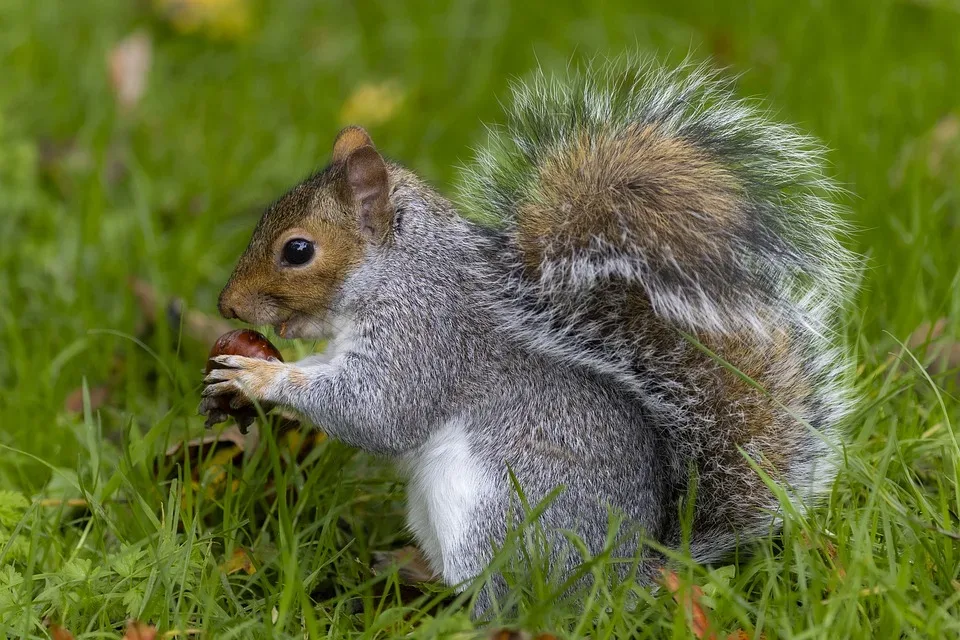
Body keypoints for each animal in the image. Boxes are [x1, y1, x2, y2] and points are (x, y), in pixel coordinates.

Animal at [199, 57, 860, 612]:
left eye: (298, 250)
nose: (226, 304)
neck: (400, 270)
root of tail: (622, 578)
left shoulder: (426, 337)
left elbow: (378, 413)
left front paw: (259, 376)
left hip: (496, 516)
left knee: (508, 597)